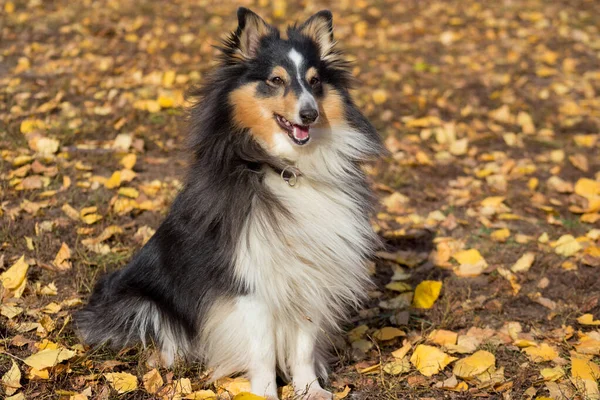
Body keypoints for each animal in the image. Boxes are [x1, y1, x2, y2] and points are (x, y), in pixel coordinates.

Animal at [75, 7, 382, 400]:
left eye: (315, 82)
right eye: (275, 80)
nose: (310, 114)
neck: (284, 168)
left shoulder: (310, 275)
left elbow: (303, 345)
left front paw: (310, 390)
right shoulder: (252, 282)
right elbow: (263, 351)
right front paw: (264, 394)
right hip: (138, 298)